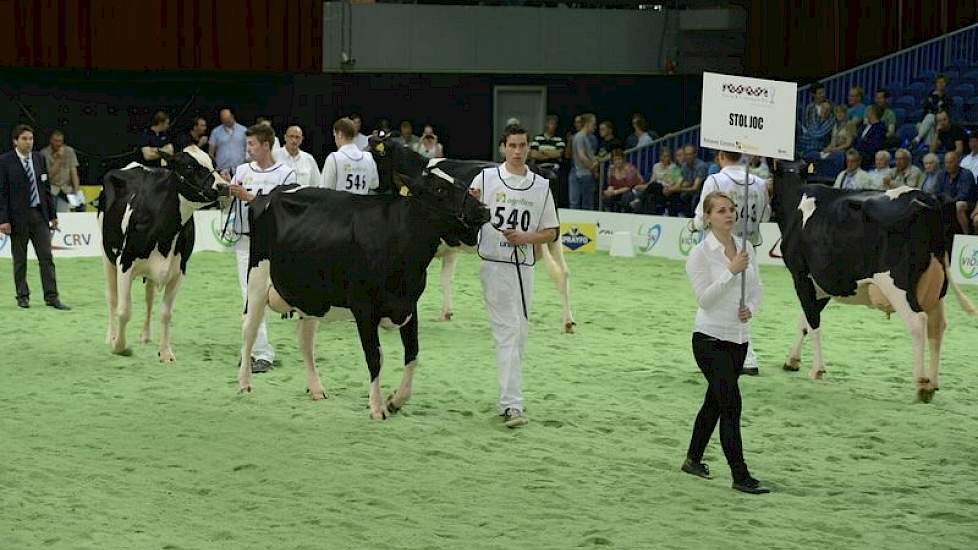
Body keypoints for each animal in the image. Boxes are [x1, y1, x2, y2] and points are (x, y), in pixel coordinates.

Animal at [99, 149, 229, 360]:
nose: (223, 186)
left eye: (213, 163)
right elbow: (124, 310)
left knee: (149, 298)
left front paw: (166, 352)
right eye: (189, 166)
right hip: (106, 256)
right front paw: (120, 346)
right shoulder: (125, 262)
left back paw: (145, 336)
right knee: (112, 297)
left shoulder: (179, 270)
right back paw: (110, 336)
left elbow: (166, 313)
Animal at [236, 136, 488, 420]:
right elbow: (375, 356)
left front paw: (396, 400)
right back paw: (244, 383)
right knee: (249, 329)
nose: (484, 209)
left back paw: (316, 389)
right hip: (257, 278)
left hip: (311, 294)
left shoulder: (408, 305)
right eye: (439, 190)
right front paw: (377, 407)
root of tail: (275, 192)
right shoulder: (364, 308)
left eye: (459, 184)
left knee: (305, 339)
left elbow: (412, 354)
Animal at [370, 136, 576, 334]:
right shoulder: (449, 246)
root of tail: (540, 170)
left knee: (556, 274)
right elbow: (446, 278)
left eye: (371, 154)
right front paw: (446, 313)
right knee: (564, 273)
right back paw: (568, 322)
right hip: (554, 237)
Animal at [772, 160, 968, 402]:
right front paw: (792, 360)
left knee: (918, 321)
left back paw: (922, 384)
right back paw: (933, 382)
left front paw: (817, 369)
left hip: (897, 283)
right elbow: (805, 320)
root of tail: (927, 199)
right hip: (937, 287)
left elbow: (813, 321)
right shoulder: (824, 283)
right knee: (937, 325)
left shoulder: (801, 274)